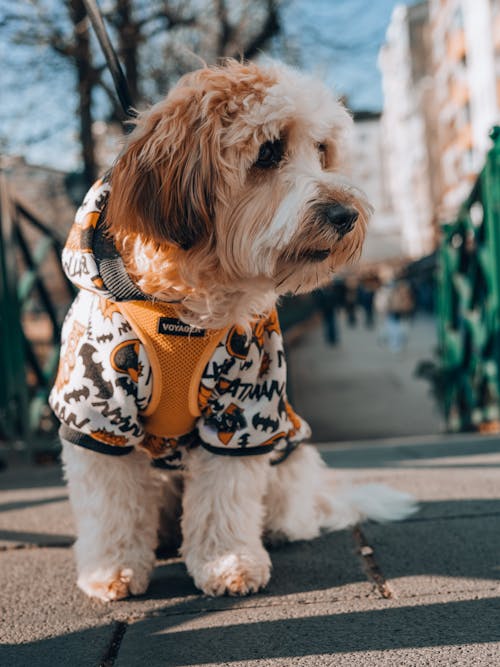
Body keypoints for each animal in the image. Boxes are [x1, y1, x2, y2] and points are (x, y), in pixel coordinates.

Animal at [48, 60, 416, 604]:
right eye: (268, 152)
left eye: (321, 150)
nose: (347, 215)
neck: (187, 309)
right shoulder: (97, 414)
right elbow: (110, 506)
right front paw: (111, 570)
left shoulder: (242, 410)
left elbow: (225, 497)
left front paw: (228, 564)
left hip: (288, 446)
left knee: (288, 501)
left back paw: (283, 528)